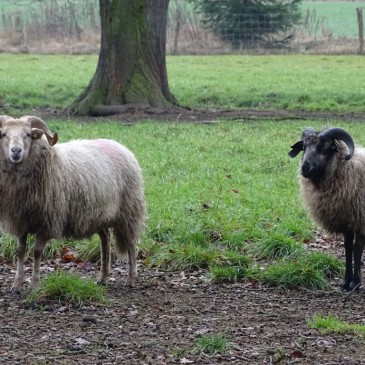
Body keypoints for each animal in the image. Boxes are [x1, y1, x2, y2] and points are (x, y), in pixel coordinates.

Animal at [0, 115, 145, 292]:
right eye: (4, 134)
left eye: (28, 135)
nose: (16, 151)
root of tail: (119, 145)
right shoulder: (21, 220)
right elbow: (20, 251)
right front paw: (16, 285)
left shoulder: (48, 222)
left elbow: (36, 252)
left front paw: (34, 284)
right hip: (99, 214)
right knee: (105, 239)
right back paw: (103, 277)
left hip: (129, 210)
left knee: (131, 245)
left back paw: (131, 279)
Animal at [288, 126, 364, 292]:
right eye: (304, 147)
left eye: (324, 149)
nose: (304, 168)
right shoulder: (346, 220)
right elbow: (348, 249)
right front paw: (346, 283)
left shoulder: (360, 220)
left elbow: (357, 249)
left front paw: (355, 283)